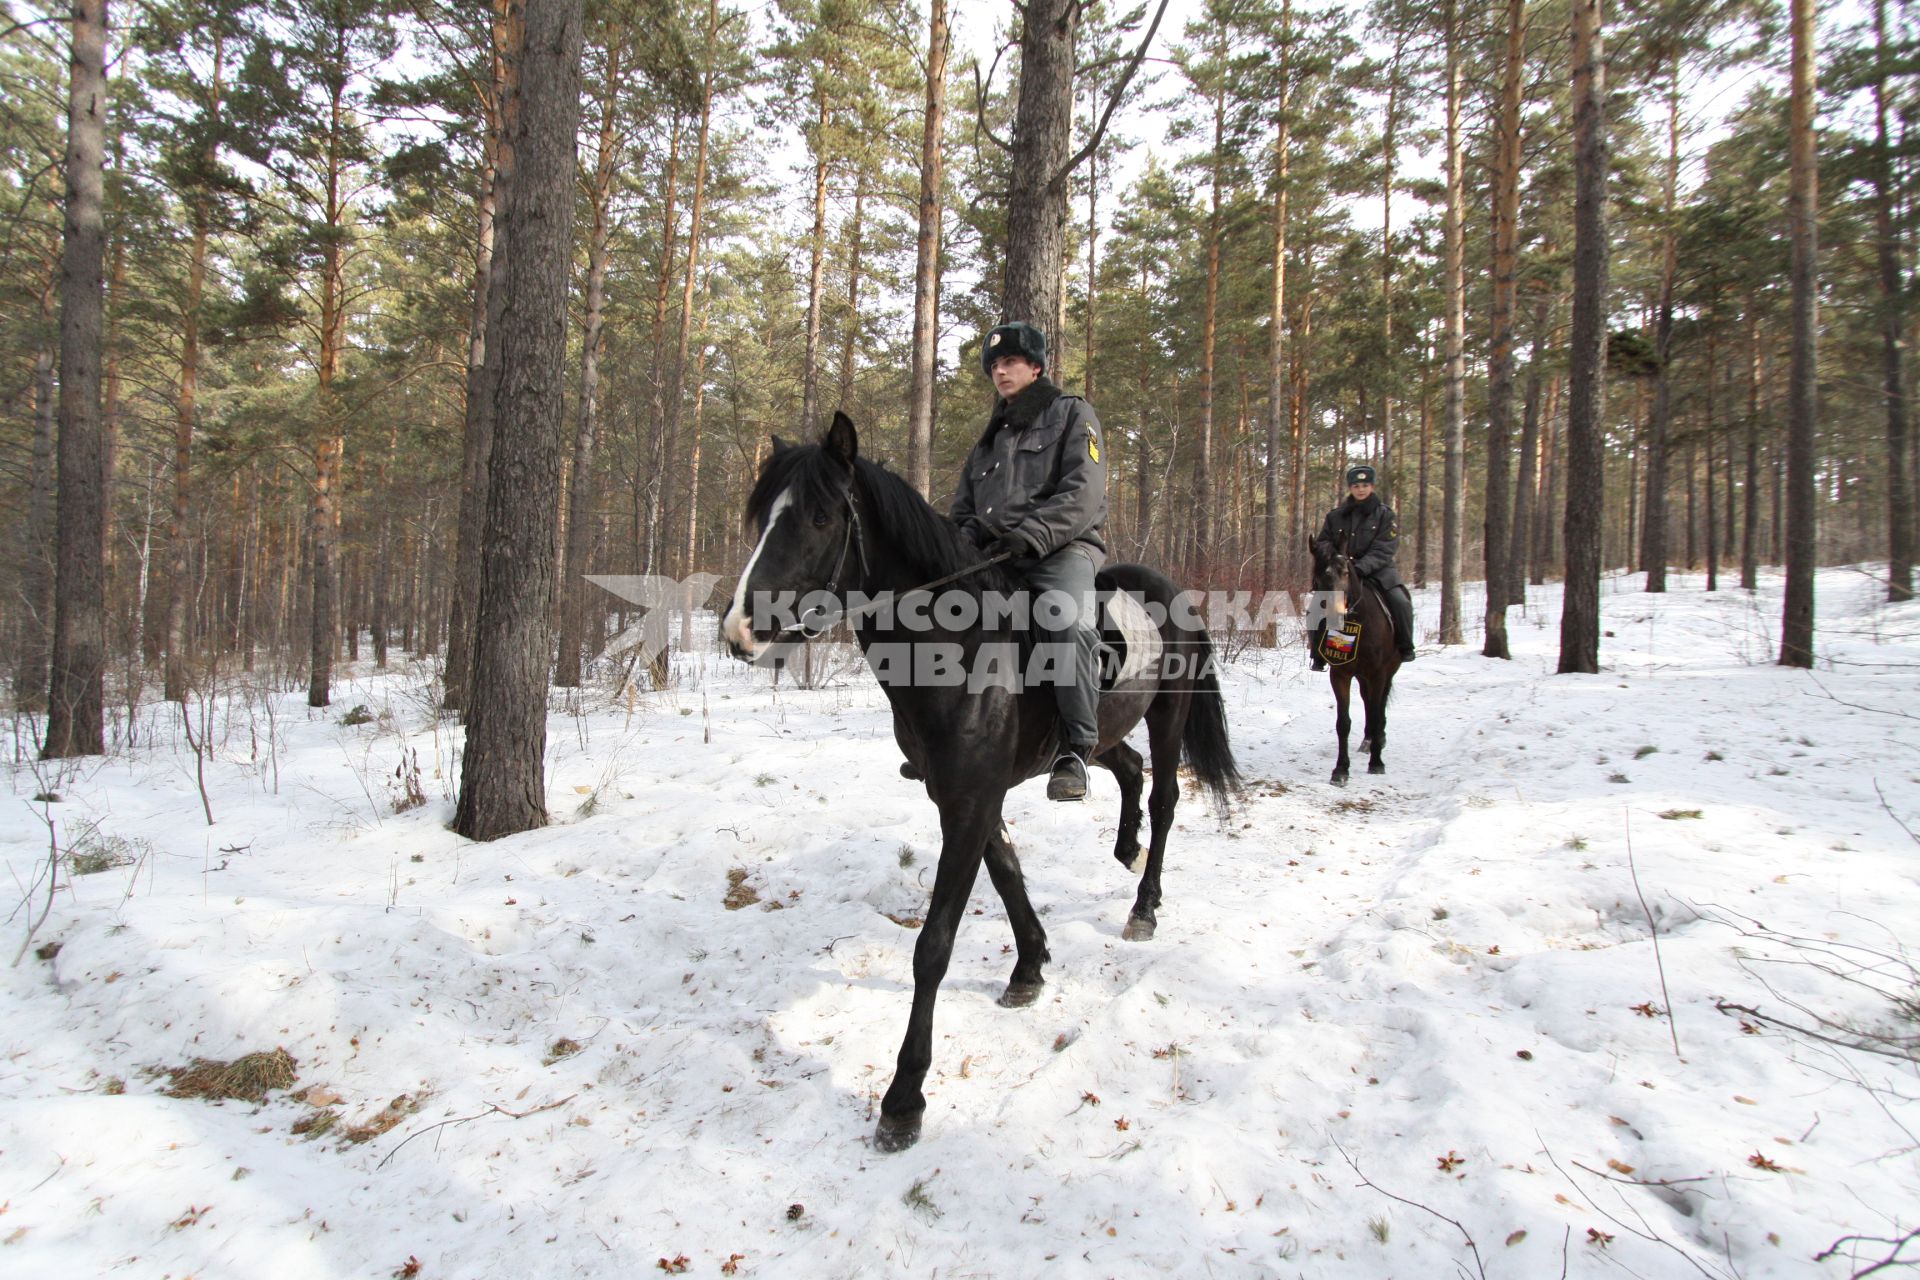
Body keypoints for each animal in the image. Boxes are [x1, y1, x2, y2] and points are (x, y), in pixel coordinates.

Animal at [721, 416, 1244, 1159]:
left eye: (820, 517)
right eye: (762, 514)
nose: (739, 630)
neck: (956, 649)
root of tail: (1169, 589)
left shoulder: (970, 801)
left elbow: (934, 945)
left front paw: (904, 1099)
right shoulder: (963, 794)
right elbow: (1007, 872)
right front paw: (1031, 966)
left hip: (1170, 717)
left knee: (1166, 797)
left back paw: (1144, 904)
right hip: (1101, 732)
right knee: (1126, 768)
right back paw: (1124, 846)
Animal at [1313, 533, 1405, 790]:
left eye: (1345, 572)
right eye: (1318, 575)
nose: (1335, 615)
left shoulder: (1378, 674)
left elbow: (1375, 713)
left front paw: (1377, 763)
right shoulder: (1340, 675)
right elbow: (1343, 723)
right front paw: (1340, 770)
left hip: (1387, 672)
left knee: (1379, 705)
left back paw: (1378, 740)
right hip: (1362, 677)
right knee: (1367, 700)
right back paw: (1368, 740)